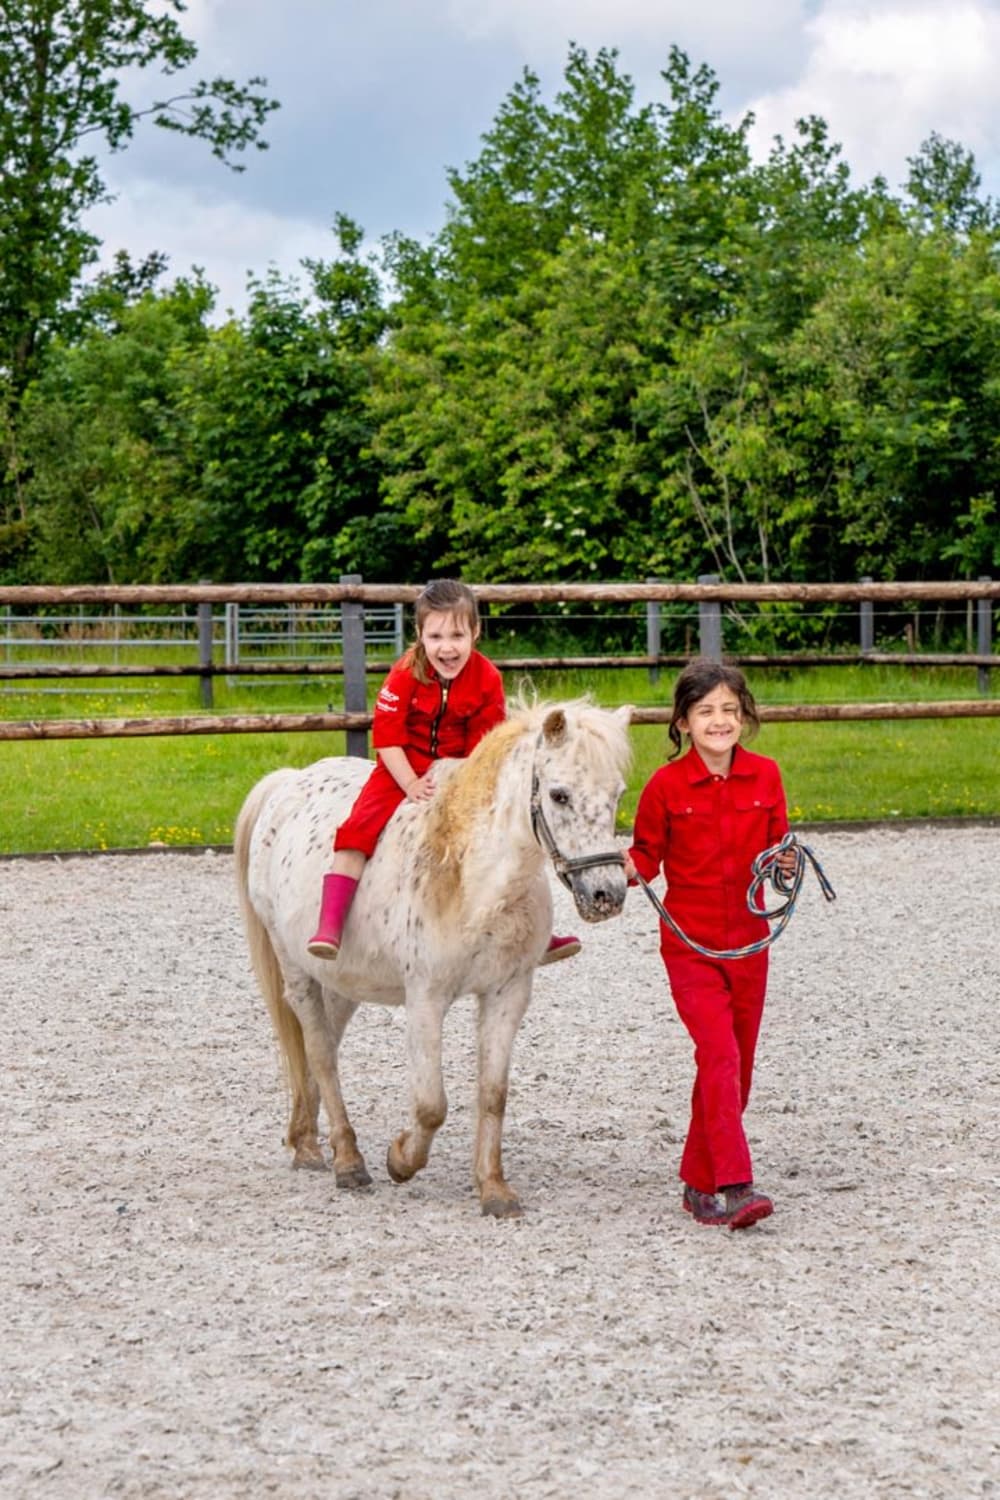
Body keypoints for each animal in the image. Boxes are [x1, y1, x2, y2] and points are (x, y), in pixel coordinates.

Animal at [234, 697, 632, 1217]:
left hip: (341, 981)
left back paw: (307, 1142)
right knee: (320, 1053)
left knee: (321, 1048)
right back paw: (348, 1161)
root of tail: (287, 783)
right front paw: (401, 1160)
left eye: (618, 793)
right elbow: (430, 1104)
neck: (474, 880)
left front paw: (494, 1188)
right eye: (559, 795)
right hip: (297, 969)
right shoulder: (425, 997)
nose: (607, 894)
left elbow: (493, 1093)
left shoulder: (508, 993)